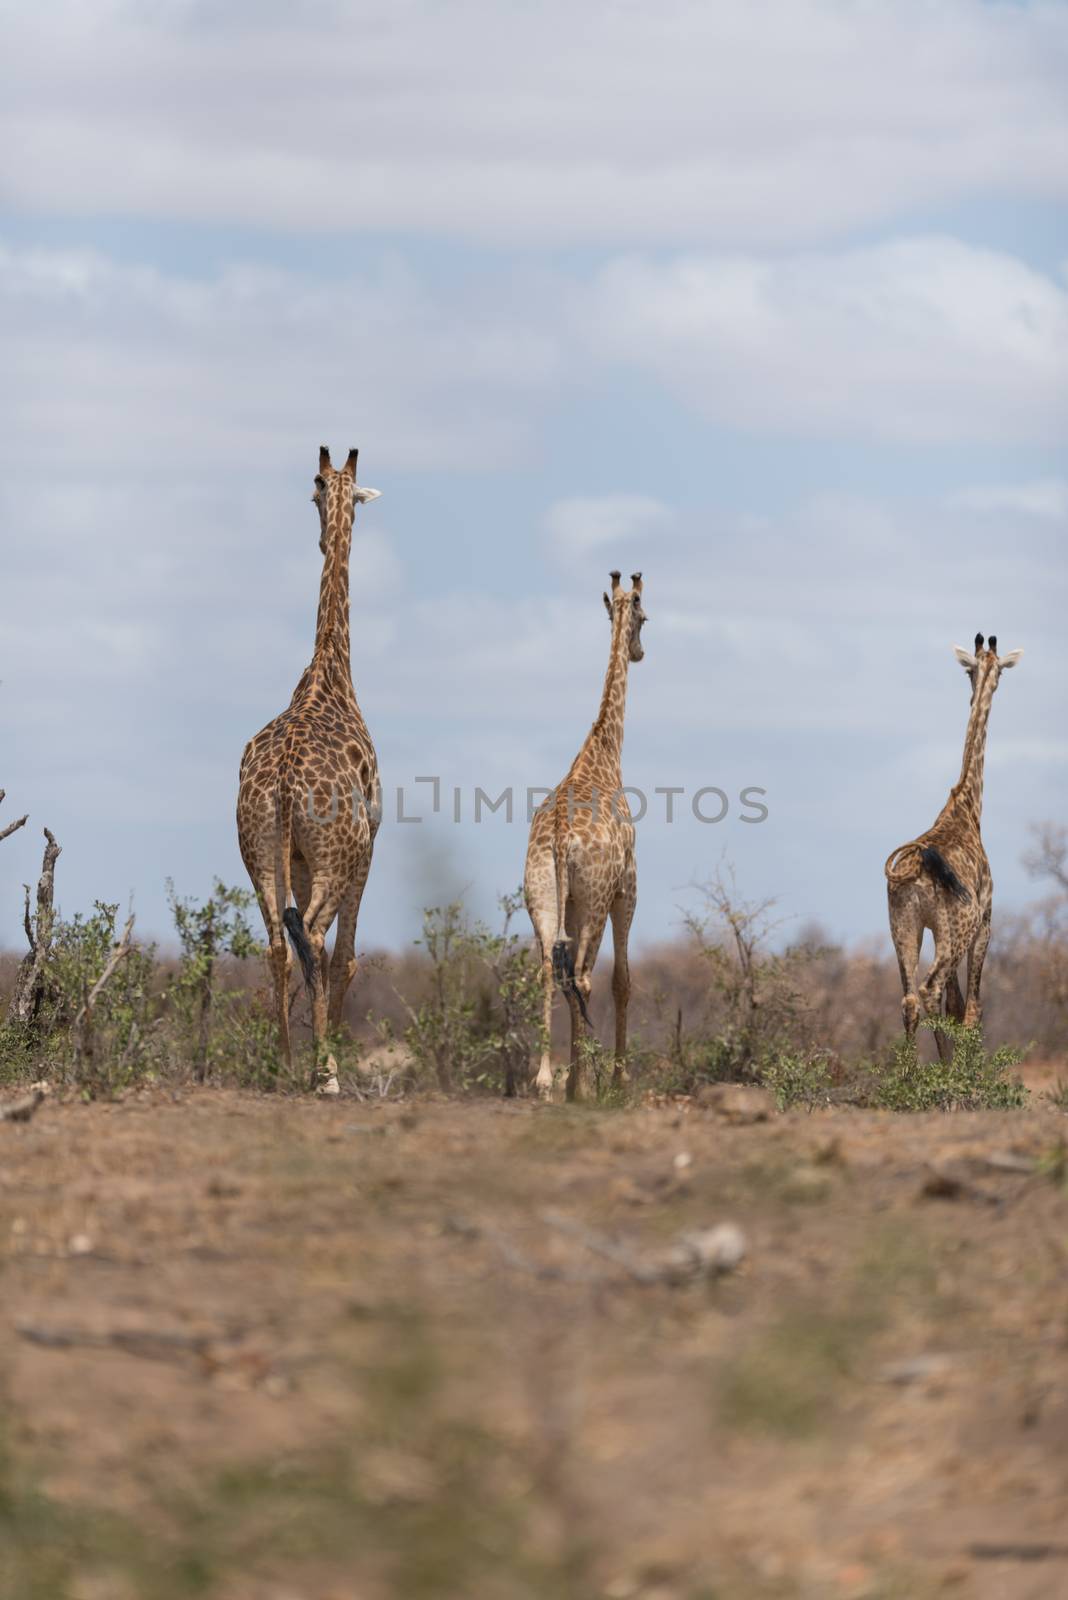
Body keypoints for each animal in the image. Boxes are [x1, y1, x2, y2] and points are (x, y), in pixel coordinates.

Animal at [882, 633, 1023, 1062]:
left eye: (970, 671)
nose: (985, 684)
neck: (967, 804)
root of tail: (914, 868)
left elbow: (957, 1003)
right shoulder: (986, 920)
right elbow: (972, 1007)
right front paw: (965, 1070)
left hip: (903, 925)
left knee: (911, 999)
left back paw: (911, 1076)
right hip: (956, 928)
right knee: (930, 990)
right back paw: (944, 1074)